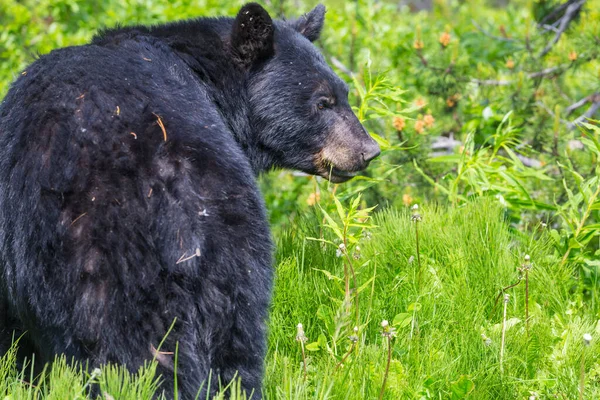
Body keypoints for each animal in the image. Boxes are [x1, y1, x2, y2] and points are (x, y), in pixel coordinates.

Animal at [0, 2, 380, 396]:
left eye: (343, 94)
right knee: (238, 351)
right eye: (323, 102)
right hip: (238, 258)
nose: (369, 150)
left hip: (105, 270)